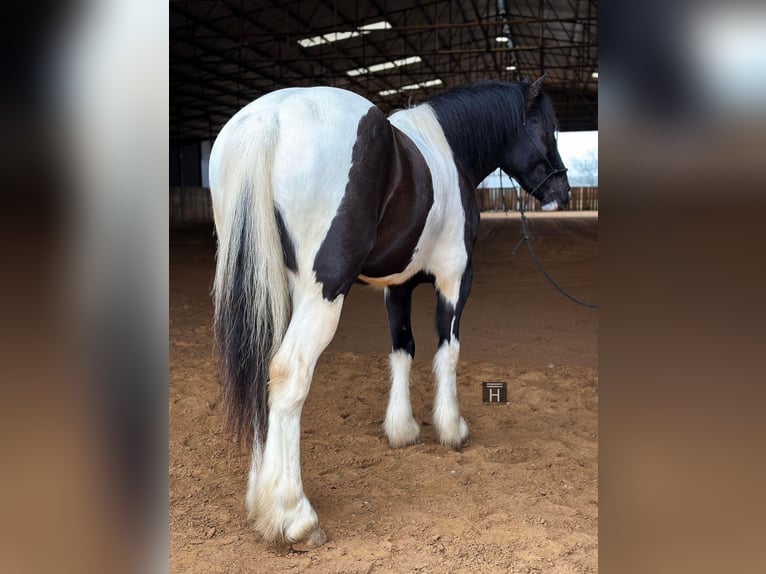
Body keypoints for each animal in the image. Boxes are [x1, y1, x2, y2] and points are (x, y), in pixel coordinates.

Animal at [208, 75, 568, 548]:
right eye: (548, 128)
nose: (562, 191)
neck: (447, 147)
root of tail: (270, 119)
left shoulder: (397, 286)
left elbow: (403, 349)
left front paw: (403, 430)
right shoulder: (456, 277)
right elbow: (447, 350)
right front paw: (451, 429)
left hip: (267, 285)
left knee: (258, 365)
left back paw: (260, 500)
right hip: (322, 292)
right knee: (287, 372)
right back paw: (294, 515)